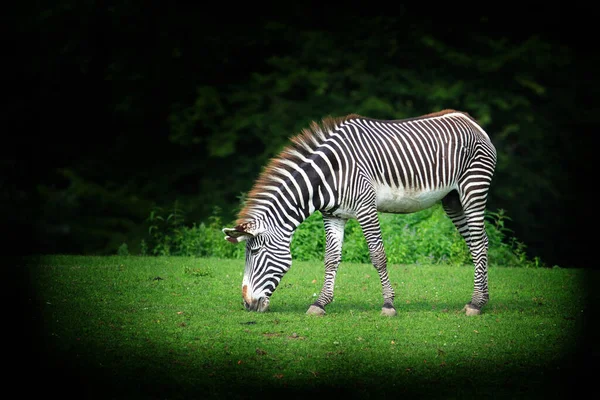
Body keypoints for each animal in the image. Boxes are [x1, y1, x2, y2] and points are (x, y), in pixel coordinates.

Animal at [224, 109, 496, 316]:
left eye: (254, 252)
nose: (246, 304)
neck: (329, 174)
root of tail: (470, 120)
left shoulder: (366, 207)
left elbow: (378, 256)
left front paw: (388, 305)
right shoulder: (334, 215)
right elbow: (331, 258)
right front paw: (320, 304)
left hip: (473, 188)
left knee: (479, 242)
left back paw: (476, 304)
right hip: (452, 200)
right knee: (477, 242)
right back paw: (480, 300)